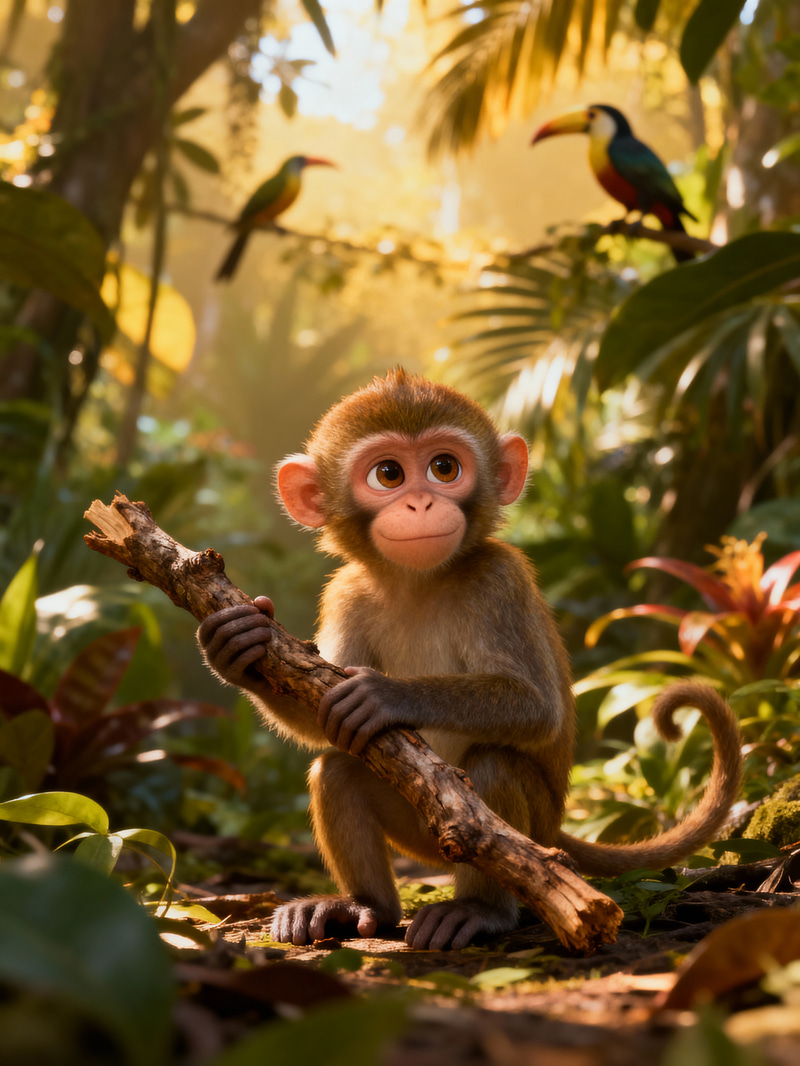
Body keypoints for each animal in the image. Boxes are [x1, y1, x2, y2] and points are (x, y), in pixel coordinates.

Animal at [198, 368, 742, 951]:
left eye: (444, 468)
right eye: (388, 474)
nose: (419, 504)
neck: (416, 584)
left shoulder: (497, 578)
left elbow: (537, 706)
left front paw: (385, 694)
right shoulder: (346, 590)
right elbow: (321, 710)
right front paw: (238, 645)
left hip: (518, 831)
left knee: (493, 768)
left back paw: (481, 909)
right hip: (418, 835)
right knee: (339, 769)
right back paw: (364, 906)